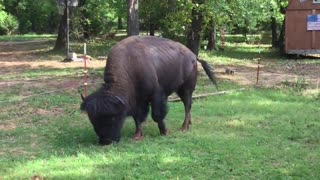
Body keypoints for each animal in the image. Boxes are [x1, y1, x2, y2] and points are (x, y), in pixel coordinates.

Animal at [80, 35, 218, 145]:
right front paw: (137, 135)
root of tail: (193, 55)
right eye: (92, 120)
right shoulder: (137, 101)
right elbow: (138, 118)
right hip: (180, 90)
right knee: (188, 105)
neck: (130, 67)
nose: (106, 141)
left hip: (186, 89)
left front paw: (164, 132)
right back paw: (188, 124)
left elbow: (156, 115)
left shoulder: (156, 95)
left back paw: (184, 128)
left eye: (114, 117)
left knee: (187, 106)